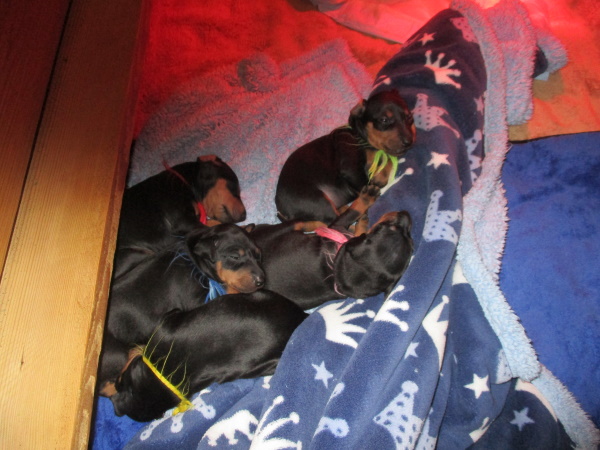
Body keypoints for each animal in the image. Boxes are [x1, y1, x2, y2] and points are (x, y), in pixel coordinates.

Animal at [98, 223, 265, 392]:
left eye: (258, 256)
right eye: (235, 256)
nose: (261, 281)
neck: (197, 263)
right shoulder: (197, 301)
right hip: (117, 355)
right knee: (107, 386)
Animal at [254, 187, 413, 310]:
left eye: (383, 227)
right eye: (411, 242)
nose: (406, 214)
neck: (338, 273)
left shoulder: (339, 227)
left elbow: (353, 214)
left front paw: (365, 202)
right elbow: (354, 217)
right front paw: (364, 211)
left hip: (281, 229)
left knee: (302, 222)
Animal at [275, 89, 415, 223]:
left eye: (409, 117)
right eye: (384, 120)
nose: (409, 142)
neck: (360, 137)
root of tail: (282, 211)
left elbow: (387, 157)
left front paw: (381, 175)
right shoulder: (350, 168)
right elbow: (364, 181)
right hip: (316, 201)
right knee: (335, 223)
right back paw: (364, 204)